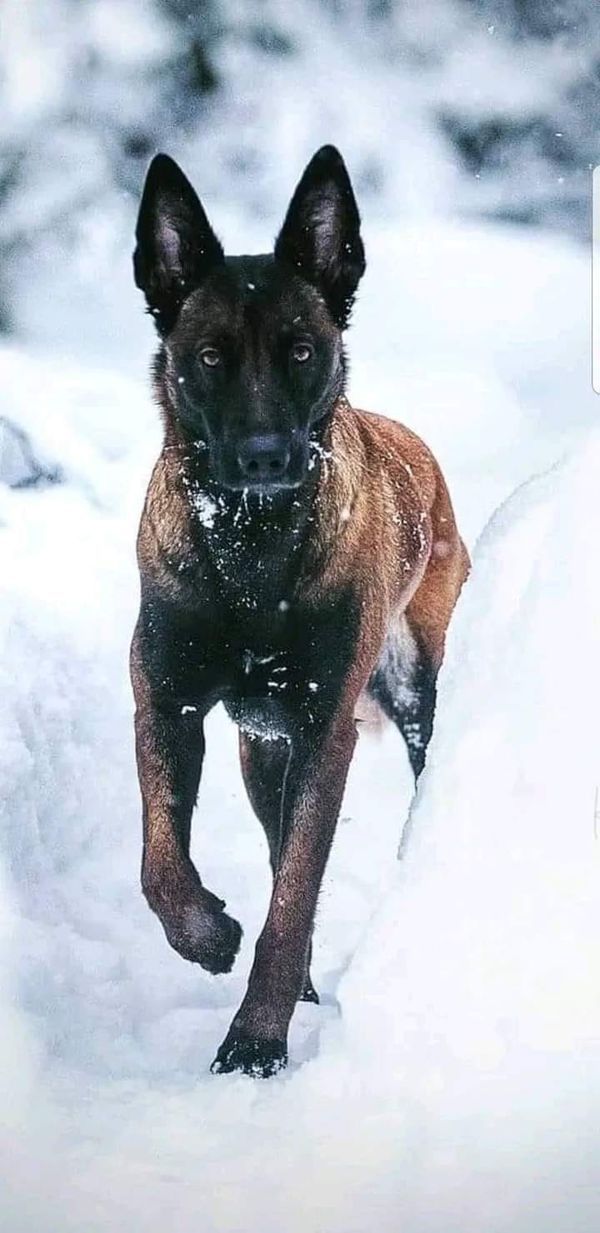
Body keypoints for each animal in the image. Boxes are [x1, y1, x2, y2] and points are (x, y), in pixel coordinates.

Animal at [130, 144, 470, 1075]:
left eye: (303, 350)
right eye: (210, 355)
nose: (263, 457)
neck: (250, 551)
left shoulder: (326, 730)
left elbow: (292, 900)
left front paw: (255, 1041)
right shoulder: (166, 703)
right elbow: (161, 860)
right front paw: (209, 935)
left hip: (415, 696)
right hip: (261, 750)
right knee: (275, 840)